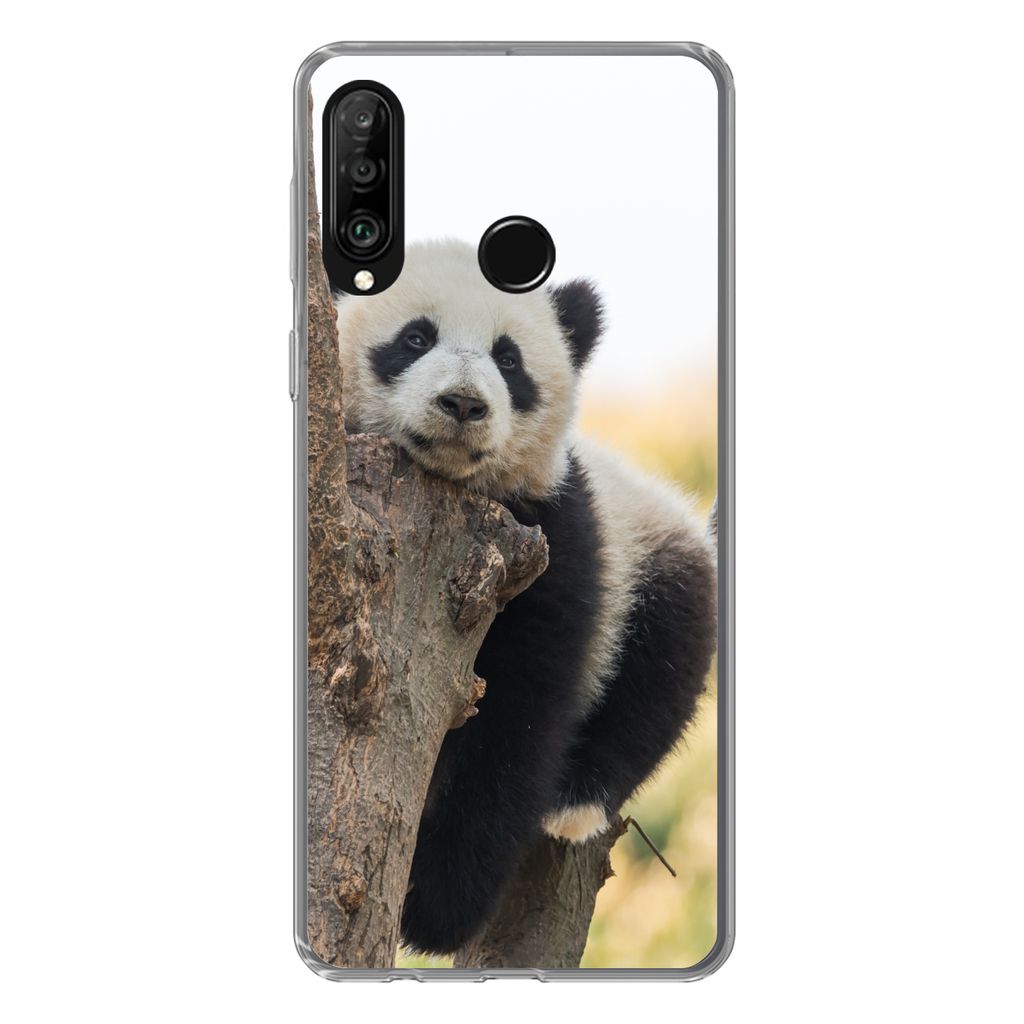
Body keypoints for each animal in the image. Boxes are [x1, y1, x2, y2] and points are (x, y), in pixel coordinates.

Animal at [334, 239, 718, 956]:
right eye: (415, 338)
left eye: (508, 359)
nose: (463, 404)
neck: (456, 489)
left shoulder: (554, 534)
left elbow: (523, 707)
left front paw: (434, 907)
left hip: (652, 549)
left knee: (663, 664)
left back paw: (576, 801)